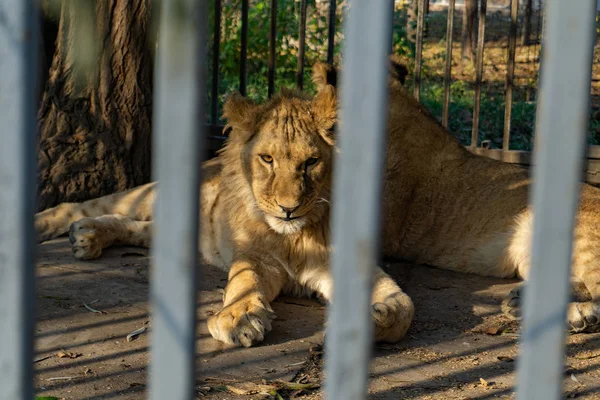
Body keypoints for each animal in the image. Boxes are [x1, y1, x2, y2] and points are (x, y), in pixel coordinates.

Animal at [36, 57, 600, 348]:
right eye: (267, 159)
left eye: (311, 163)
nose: (288, 208)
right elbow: (244, 284)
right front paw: (240, 319)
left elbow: (401, 307)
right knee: (103, 208)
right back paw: (64, 227)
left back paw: (557, 311)